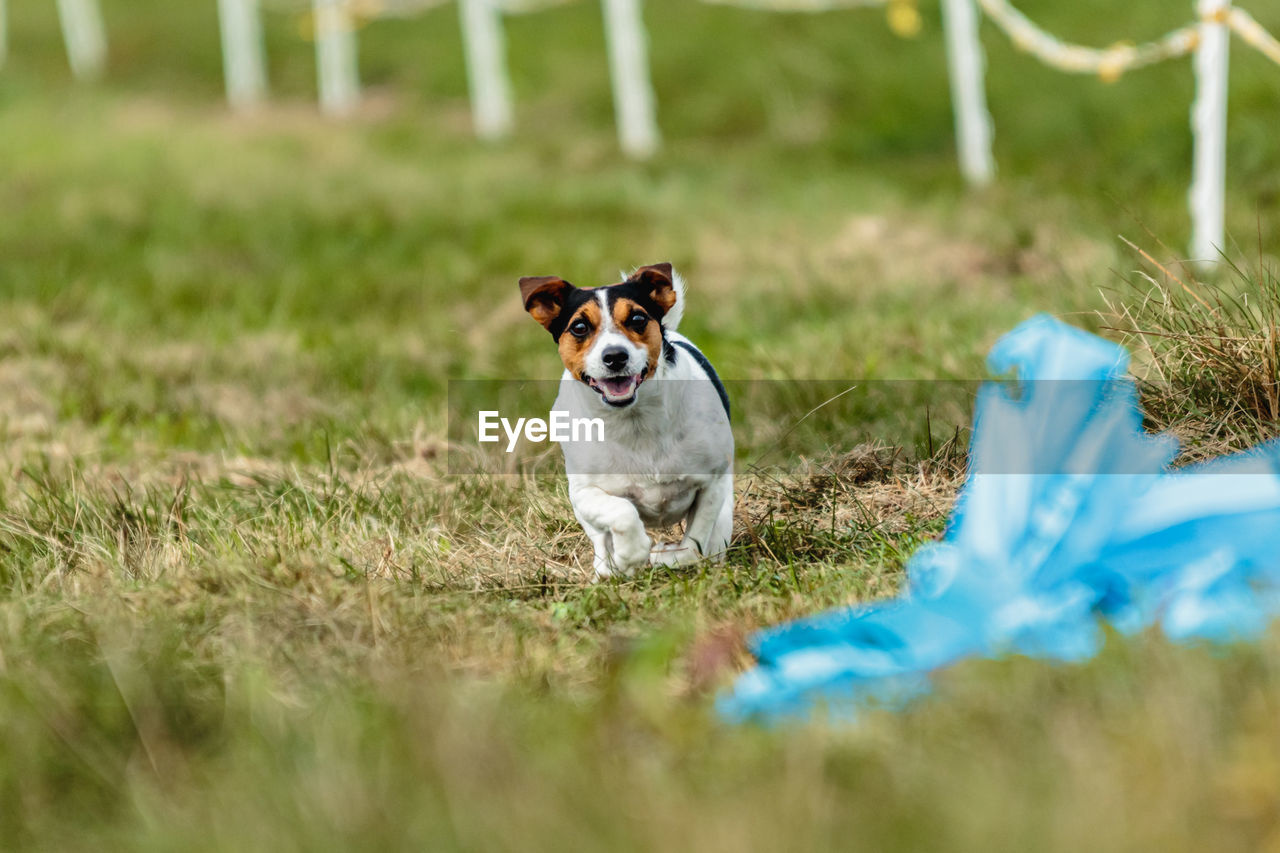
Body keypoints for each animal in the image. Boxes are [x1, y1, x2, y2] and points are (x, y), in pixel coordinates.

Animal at [517, 262, 737, 573]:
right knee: (601, 539)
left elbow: (692, 547)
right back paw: (607, 569)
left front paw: (664, 556)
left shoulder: (712, 483)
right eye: (579, 327)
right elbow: (622, 513)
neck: (634, 421)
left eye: (637, 318)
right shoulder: (583, 492)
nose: (615, 356)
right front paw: (629, 556)